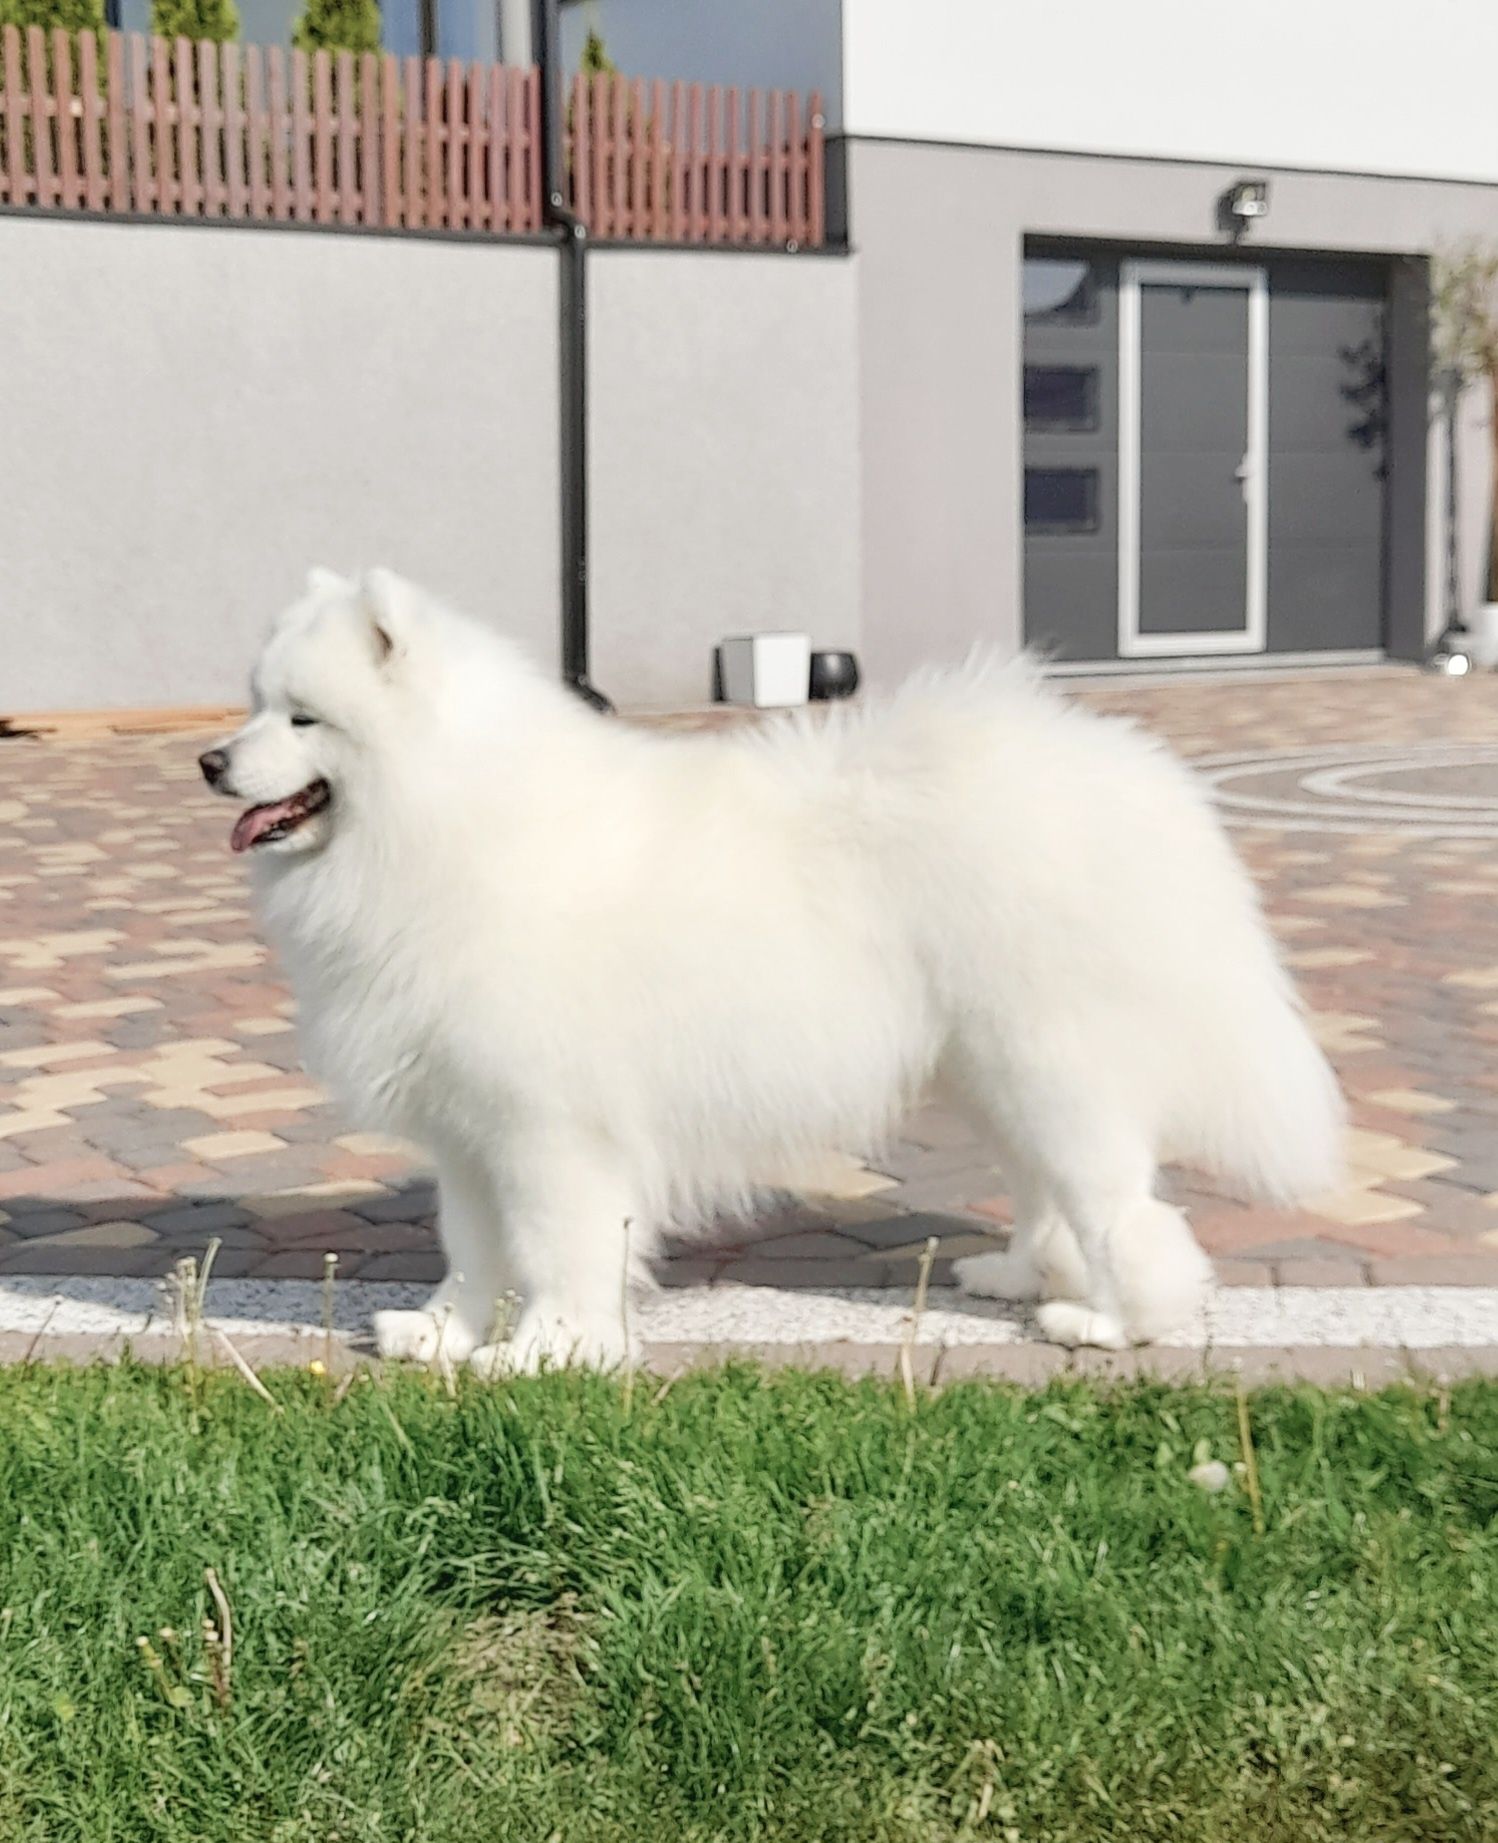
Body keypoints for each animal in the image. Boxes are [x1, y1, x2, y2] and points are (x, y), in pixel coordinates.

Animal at [201, 571, 1341, 1371]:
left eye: (303, 717)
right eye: (252, 704)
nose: (210, 762)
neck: (444, 821)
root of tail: (1135, 778)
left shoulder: (548, 1127)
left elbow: (557, 1248)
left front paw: (550, 1351)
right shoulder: (467, 1129)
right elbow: (473, 1248)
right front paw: (444, 1336)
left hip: (1047, 1060)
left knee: (1121, 1208)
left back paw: (1112, 1324)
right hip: (991, 1072)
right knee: (1047, 1192)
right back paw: (1018, 1276)